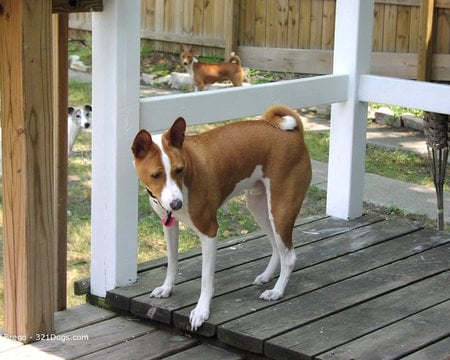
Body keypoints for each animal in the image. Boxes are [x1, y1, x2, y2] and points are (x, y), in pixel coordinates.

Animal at [132, 103, 312, 330]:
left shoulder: (209, 231)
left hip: (281, 211)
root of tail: (294, 134)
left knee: (289, 256)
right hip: (260, 208)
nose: (176, 204)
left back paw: (277, 291)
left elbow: (206, 280)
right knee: (276, 248)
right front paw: (167, 288)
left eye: (179, 170)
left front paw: (201, 311)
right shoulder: (169, 226)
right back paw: (266, 277)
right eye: (156, 175)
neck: (188, 177)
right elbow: (172, 262)